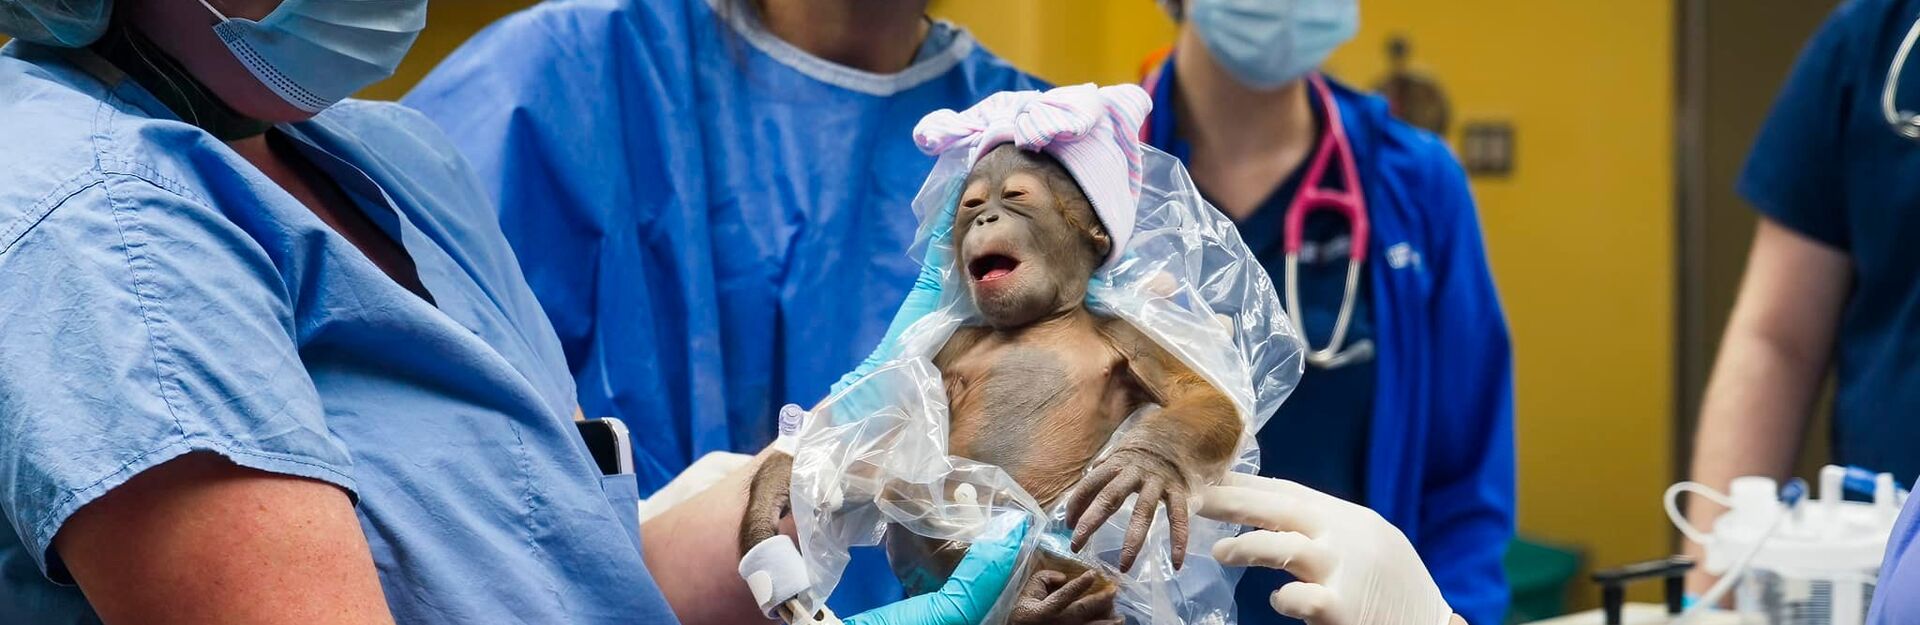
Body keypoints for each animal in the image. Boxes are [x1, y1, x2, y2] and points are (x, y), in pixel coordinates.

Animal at [740, 144, 1242, 624]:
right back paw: (1035, 606)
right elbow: (886, 420)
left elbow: (1202, 393)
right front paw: (776, 490)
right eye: (972, 204)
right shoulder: (953, 346)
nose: (986, 218)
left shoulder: (1129, 336)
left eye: (1017, 197)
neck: (1038, 321)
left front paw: (1143, 464)